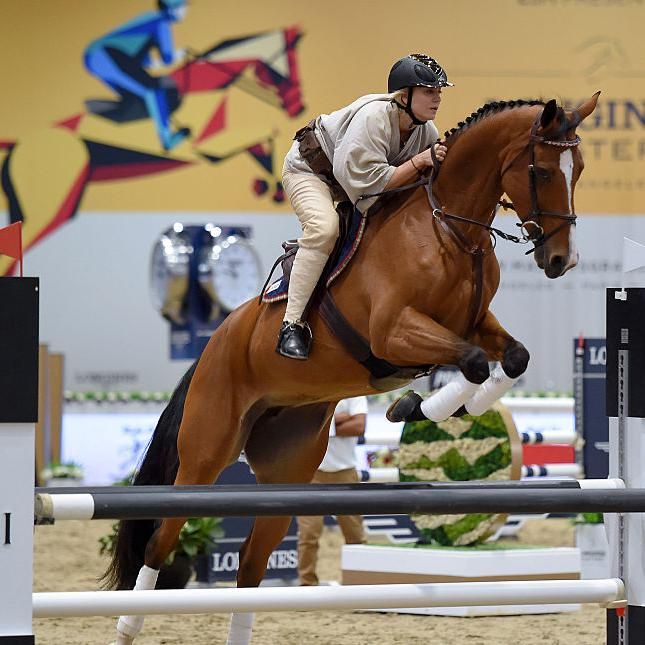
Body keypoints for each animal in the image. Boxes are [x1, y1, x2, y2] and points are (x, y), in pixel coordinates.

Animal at [0, 25, 304, 276]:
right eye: (286, 65)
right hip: (54, 207)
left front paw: (271, 185)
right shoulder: (210, 147)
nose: (297, 106)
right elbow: (264, 134)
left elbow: (263, 143)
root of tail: (17, 144)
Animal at [102, 92, 600, 644]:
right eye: (541, 170)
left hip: (288, 472)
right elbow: (470, 363)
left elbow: (511, 359)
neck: (449, 228)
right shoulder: (394, 332)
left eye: (578, 169)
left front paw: (424, 408)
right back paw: (126, 626)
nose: (561, 260)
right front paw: (414, 407)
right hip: (206, 455)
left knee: (251, 563)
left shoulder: (474, 325)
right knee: (160, 541)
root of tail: (213, 344)